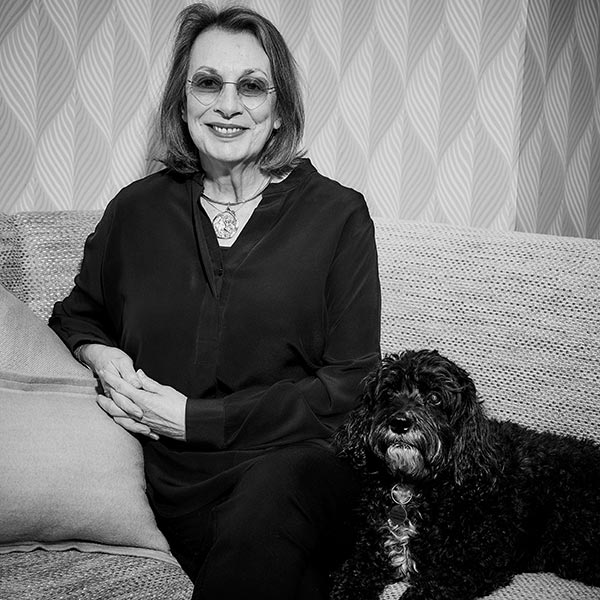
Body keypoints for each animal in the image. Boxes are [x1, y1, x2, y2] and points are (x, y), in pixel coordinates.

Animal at [330, 349, 600, 600]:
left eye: (435, 397)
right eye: (388, 393)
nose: (399, 422)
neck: (413, 486)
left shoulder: (471, 564)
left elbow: (429, 589)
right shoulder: (370, 553)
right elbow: (351, 577)